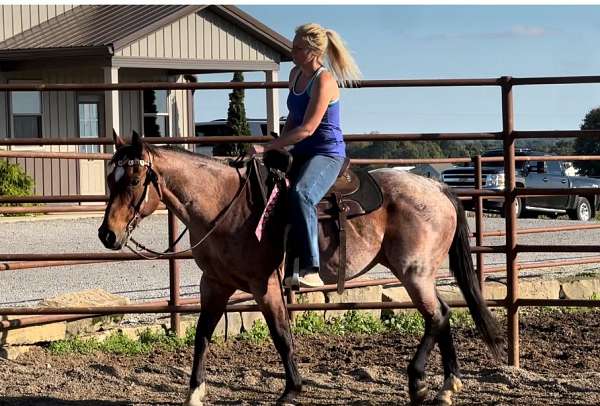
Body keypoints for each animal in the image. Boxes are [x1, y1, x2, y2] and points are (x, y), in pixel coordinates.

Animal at [99, 132, 506, 404]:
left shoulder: (263, 284)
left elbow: (281, 335)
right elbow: (202, 335)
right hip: (419, 274)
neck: (226, 207)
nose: (107, 234)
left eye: (133, 180)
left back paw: (419, 382)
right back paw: (447, 386)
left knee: (436, 316)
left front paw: (291, 391)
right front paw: (195, 394)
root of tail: (436, 188)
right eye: (108, 178)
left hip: (413, 273)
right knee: (444, 313)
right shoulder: (214, 283)